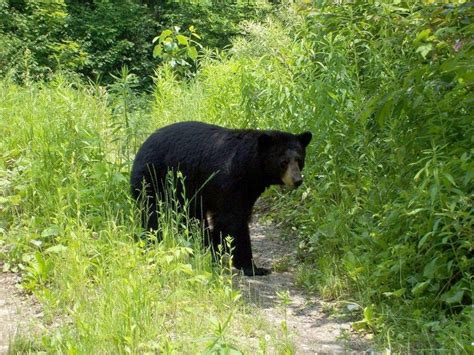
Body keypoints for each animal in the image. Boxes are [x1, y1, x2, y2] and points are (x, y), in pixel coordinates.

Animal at [131, 121, 312, 276]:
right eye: (284, 162)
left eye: (299, 160)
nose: (297, 180)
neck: (249, 168)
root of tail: (142, 147)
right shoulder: (228, 181)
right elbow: (232, 219)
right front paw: (252, 267)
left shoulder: (248, 190)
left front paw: (218, 249)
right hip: (153, 178)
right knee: (152, 213)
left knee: (191, 218)